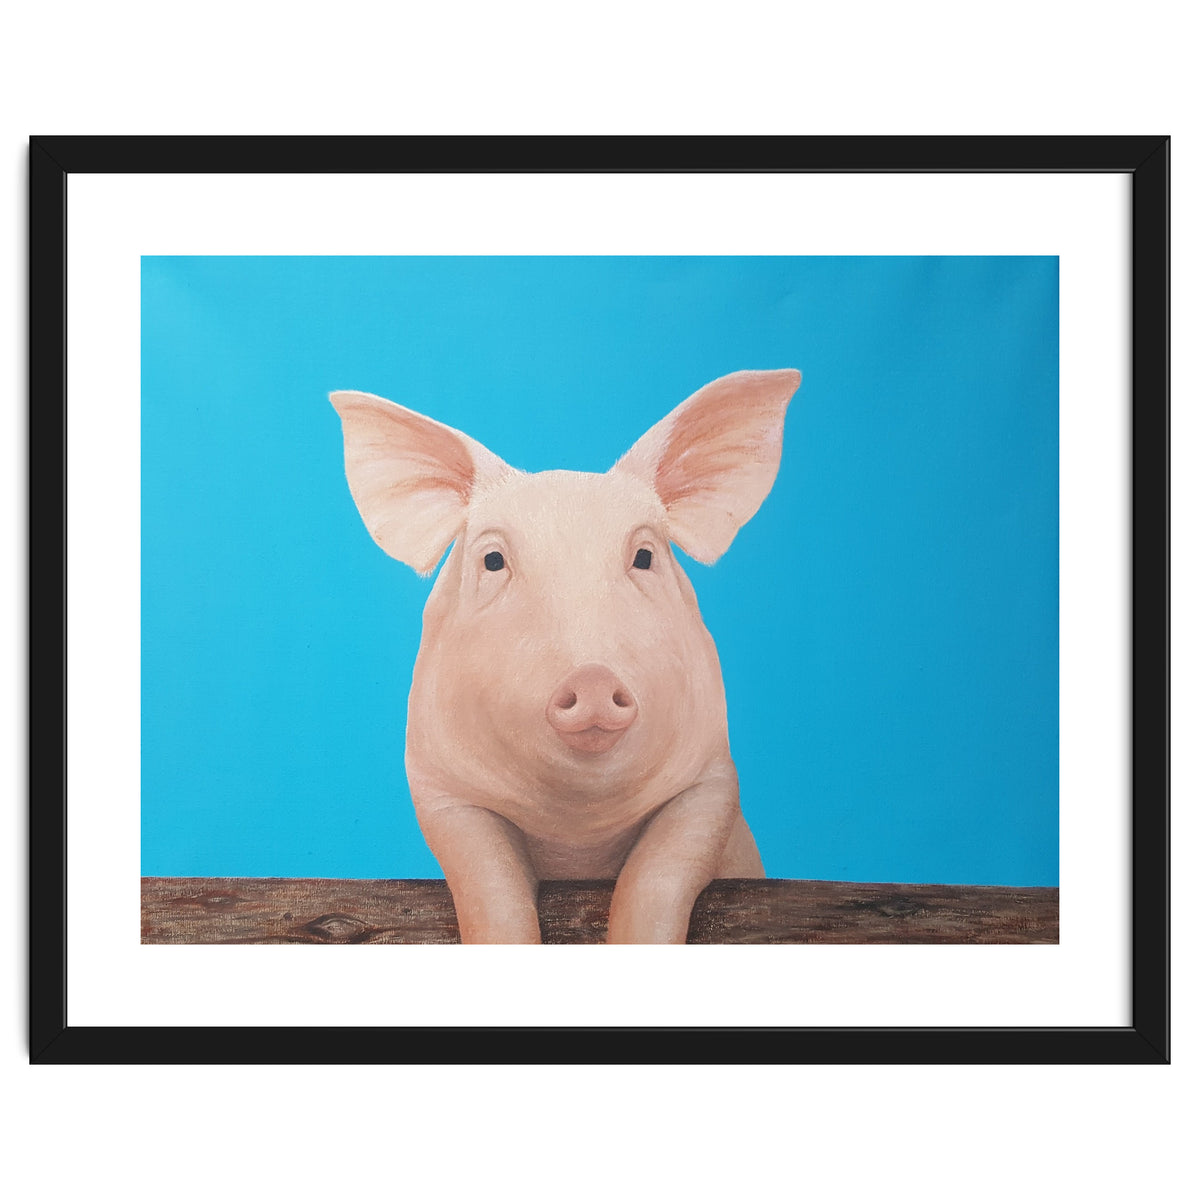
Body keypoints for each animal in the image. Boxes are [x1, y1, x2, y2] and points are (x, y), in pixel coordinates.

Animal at [330, 368, 801, 943]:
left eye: (644, 556)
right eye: (493, 560)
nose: (593, 678)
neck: (578, 830)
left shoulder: (712, 780)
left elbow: (658, 876)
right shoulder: (440, 789)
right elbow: (489, 885)